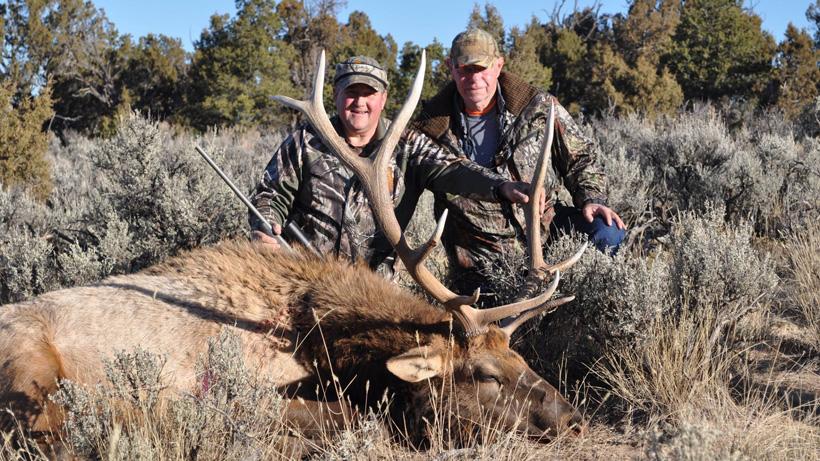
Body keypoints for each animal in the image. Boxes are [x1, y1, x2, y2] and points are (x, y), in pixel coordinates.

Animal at [0, 50, 588, 450]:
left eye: (519, 356)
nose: (573, 417)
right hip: (31, 370)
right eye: (486, 375)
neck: (325, 345)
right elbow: (357, 419)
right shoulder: (245, 392)